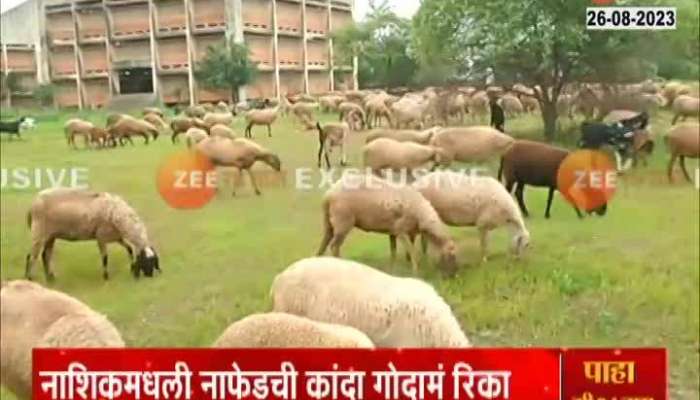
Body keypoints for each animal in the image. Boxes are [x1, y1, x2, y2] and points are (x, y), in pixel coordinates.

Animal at [25, 188, 160, 280]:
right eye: (147, 261)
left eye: (154, 261)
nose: (149, 276)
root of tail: (32, 205)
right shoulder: (101, 237)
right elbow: (105, 257)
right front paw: (106, 276)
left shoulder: (116, 237)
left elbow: (129, 250)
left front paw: (131, 268)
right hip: (39, 232)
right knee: (32, 256)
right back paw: (29, 278)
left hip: (50, 236)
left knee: (45, 255)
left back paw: (50, 278)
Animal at [318, 172, 460, 276]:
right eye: (451, 254)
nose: (454, 276)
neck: (420, 212)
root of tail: (329, 194)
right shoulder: (400, 230)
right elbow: (411, 250)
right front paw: (415, 271)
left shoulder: (393, 231)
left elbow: (394, 251)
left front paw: (392, 268)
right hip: (343, 222)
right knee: (334, 246)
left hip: (329, 222)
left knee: (324, 242)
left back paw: (317, 259)